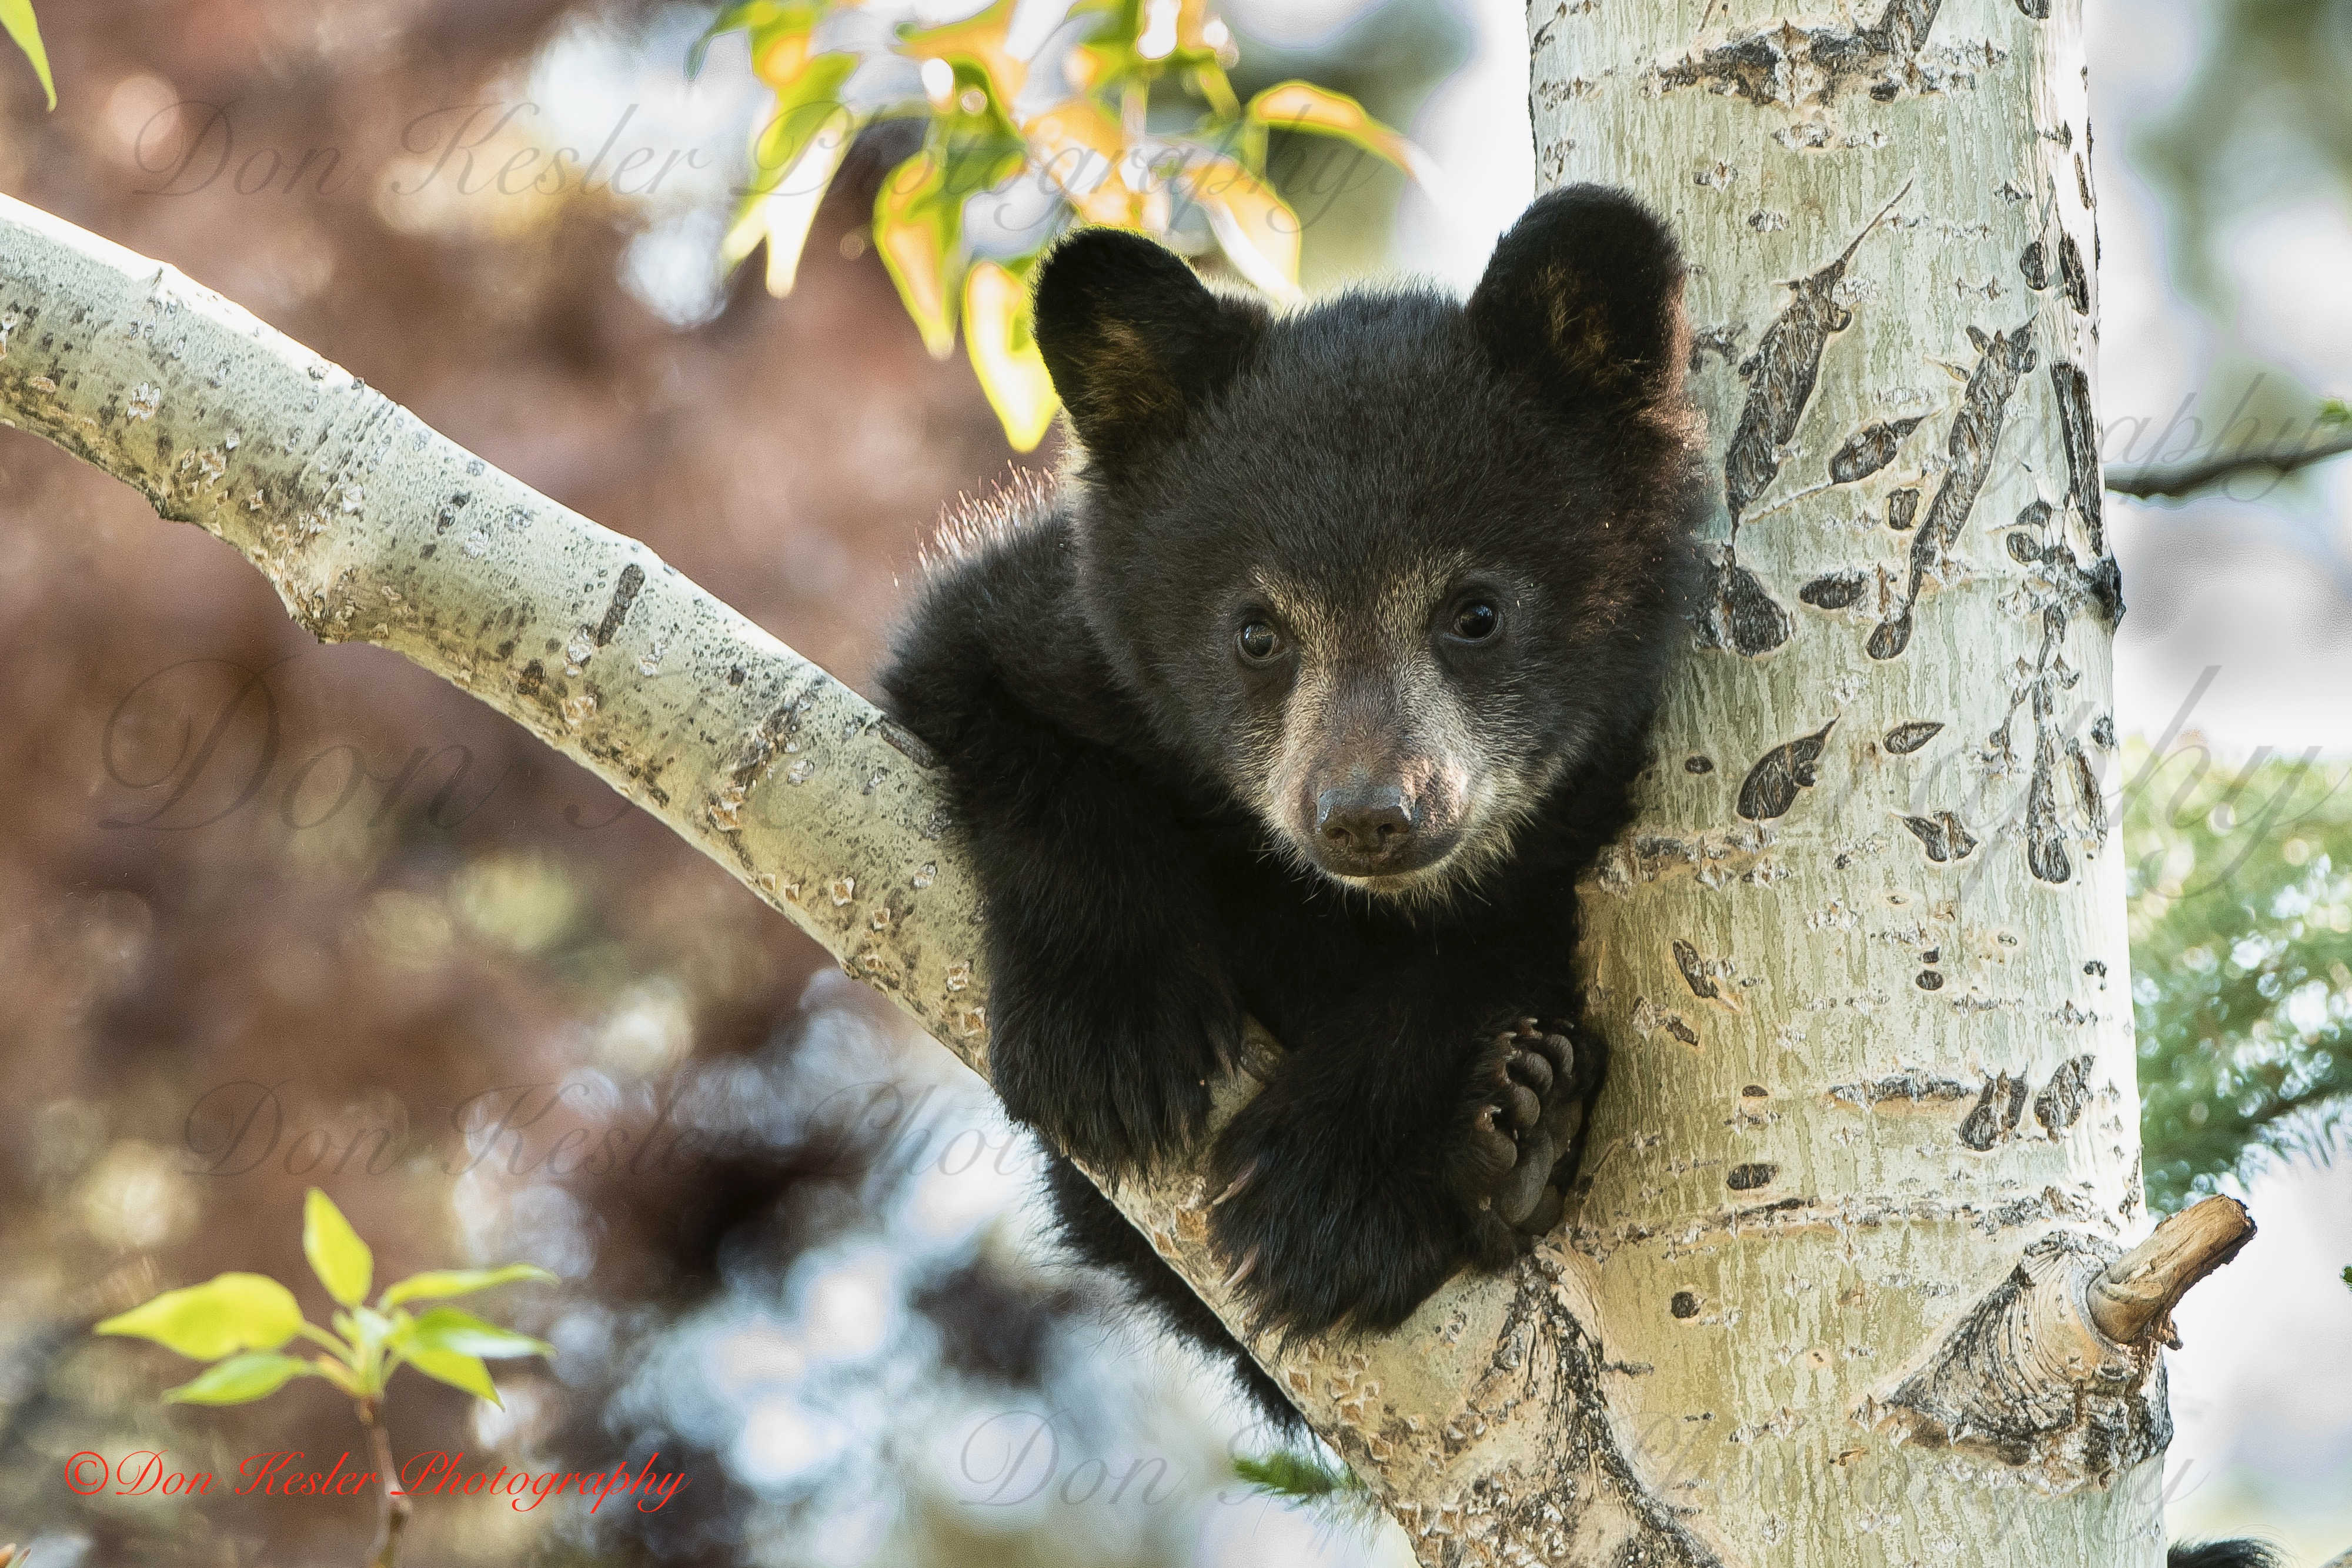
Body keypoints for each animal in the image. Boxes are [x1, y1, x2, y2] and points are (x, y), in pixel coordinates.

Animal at [876, 185, 1708, 1426]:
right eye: (1256, 632)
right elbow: (991, 703)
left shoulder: (1597, 801)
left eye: (1475, 612)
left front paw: (1324, 1191)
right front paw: (1114, 1037)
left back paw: (1516, 1141)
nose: (1368, 814)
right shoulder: (1053, 633)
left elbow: (1495, 947)